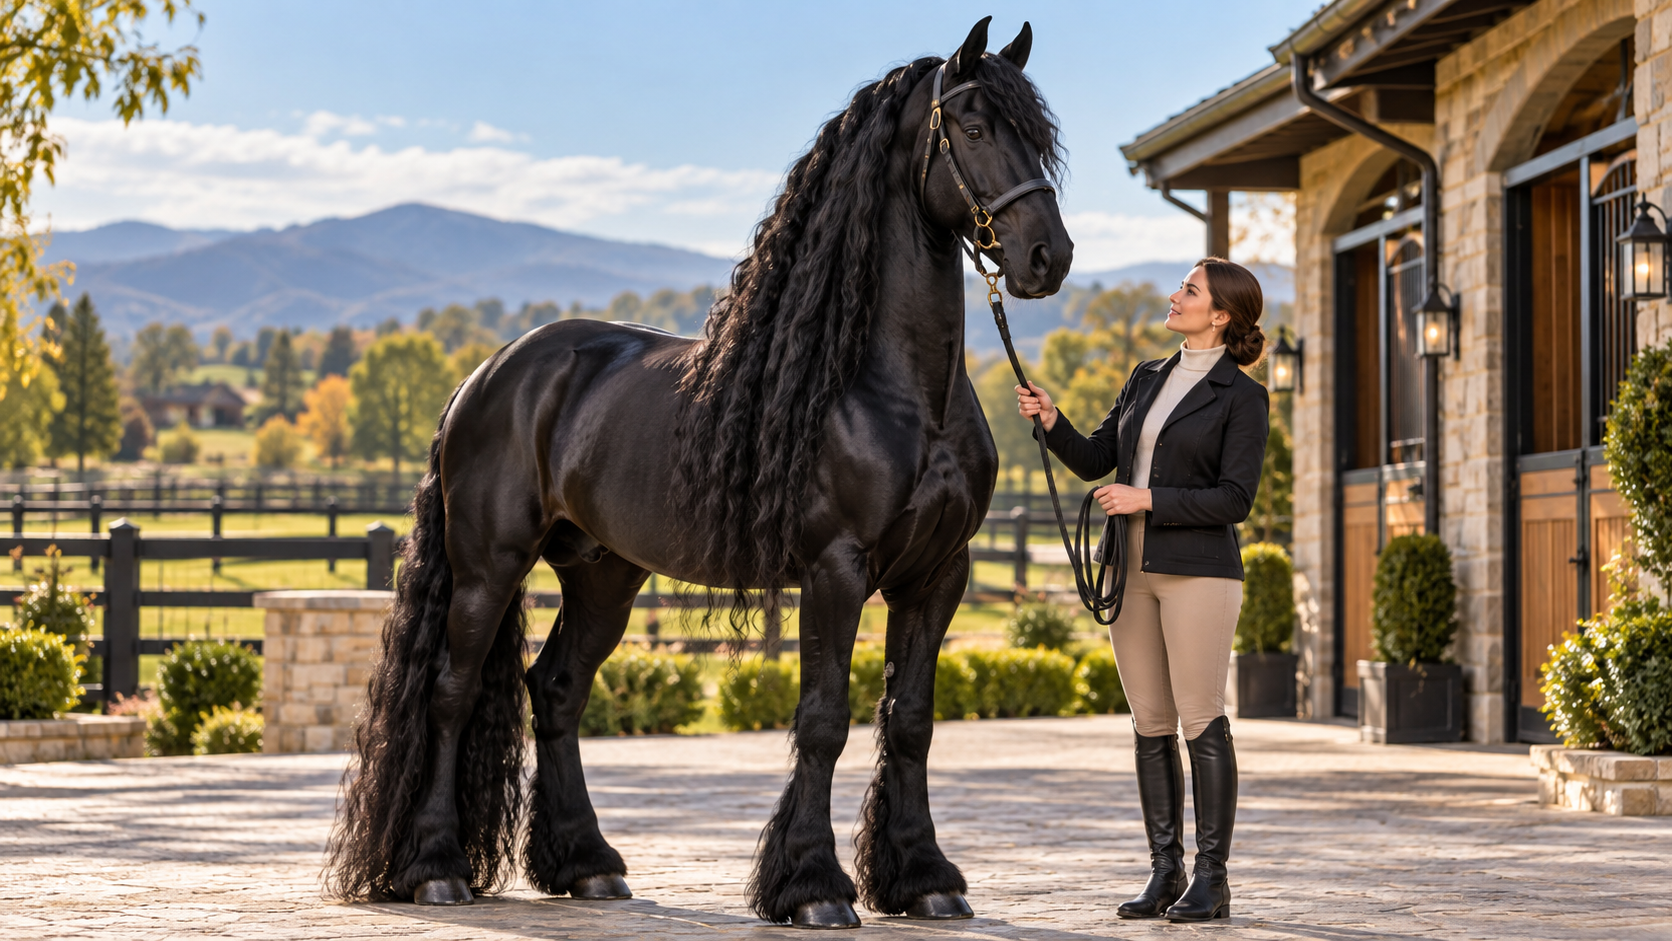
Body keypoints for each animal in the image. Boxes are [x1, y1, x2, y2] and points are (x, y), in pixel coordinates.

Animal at [324, 16, 1072, 928]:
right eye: (971, 126)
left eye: (1038, 135)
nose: (1047, 257)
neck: (896, 389)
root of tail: (489, 372)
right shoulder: (836, 568)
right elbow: (824, 719)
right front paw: (814, 885)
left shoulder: (939, 573)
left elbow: (912, 720)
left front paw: (924, 875)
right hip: (488, 565)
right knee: (451, 690)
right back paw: (435, 866)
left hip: (604, 572)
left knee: (557, 688)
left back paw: (588, 864)